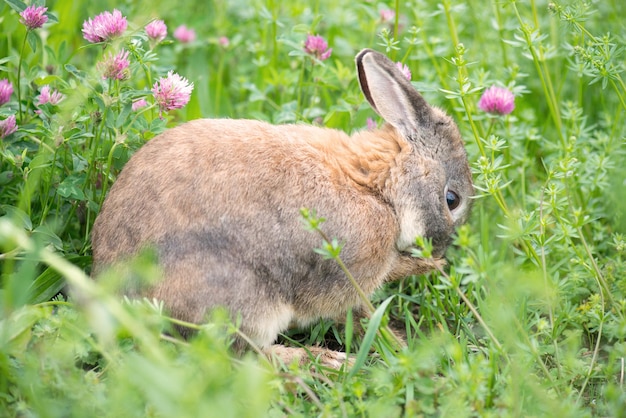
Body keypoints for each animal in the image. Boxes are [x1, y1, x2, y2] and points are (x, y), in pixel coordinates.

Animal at [91, 49, 472, 368]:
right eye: (451, 199)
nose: (441, 247)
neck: (378, 189)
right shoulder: (349, 274)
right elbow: (358, 310)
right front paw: (402, 344)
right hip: (245, 303)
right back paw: (328, 361)